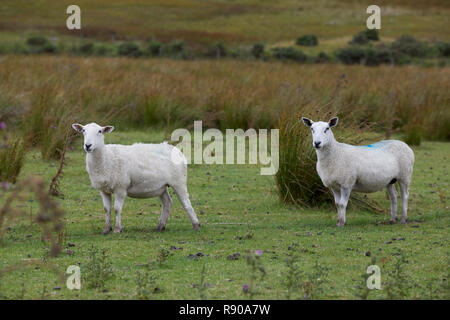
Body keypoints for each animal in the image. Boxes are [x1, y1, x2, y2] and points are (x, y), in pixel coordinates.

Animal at [71, 122, 200, 232]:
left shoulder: (120, 187)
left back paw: (196, 225)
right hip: (161, 186)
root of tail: (174, 148)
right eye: (83, 131)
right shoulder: (103, 190)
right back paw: (160, 226)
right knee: (167, 202)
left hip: (179, 181)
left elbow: (117, 209)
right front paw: (106, 229)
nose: (88, 145)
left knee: (186, 202)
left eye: (99, 131)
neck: (106, 157)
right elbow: (106, 209)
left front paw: (117, 229)